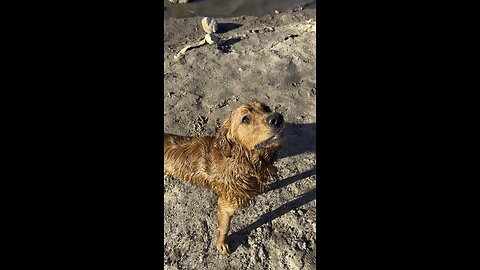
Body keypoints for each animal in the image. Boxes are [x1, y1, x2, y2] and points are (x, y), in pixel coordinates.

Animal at [165, 99, 284, 255]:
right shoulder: (226, 204)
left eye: (266, 108)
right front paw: (221, 244)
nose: (277, 118)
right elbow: (224, 227)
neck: (244, 161)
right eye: (245, 119)